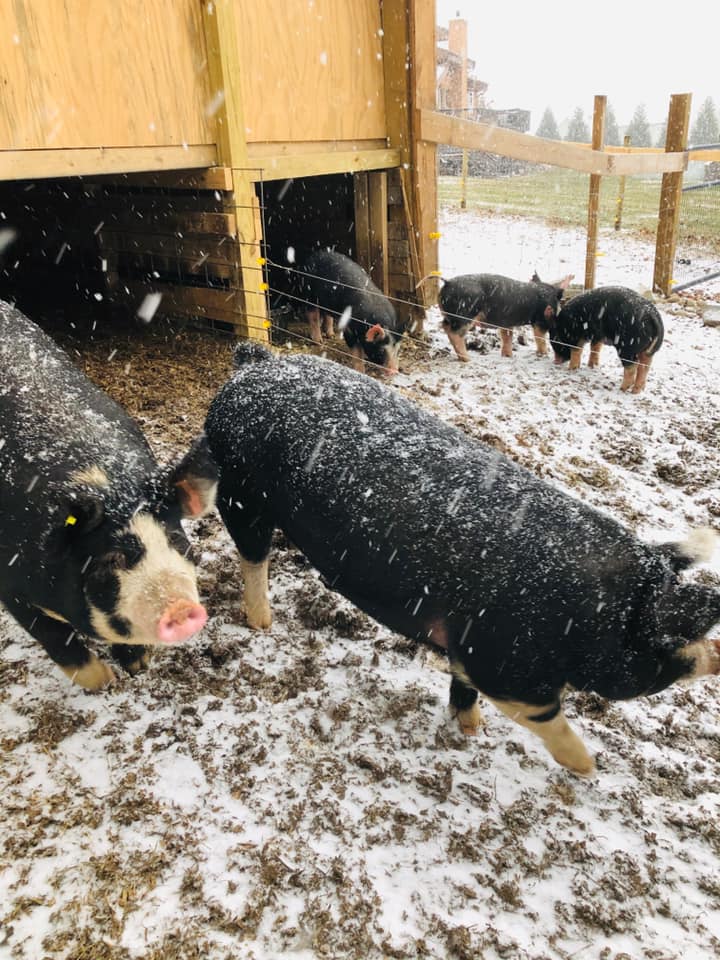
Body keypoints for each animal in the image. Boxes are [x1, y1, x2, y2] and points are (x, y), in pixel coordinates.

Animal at [0, 300, 217, 689]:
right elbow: (52, 634)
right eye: (112, 559)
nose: (181, 609)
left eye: (176, 540)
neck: (104, 485)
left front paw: (139, 665)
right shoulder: (9, 582)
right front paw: (104, 683)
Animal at [204, 342, 720, 777]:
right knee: (252, 555)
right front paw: (588, 770)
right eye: (678, 642)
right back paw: (263, 623)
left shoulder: (465, 645)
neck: (591, 620)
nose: (714, 656)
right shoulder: (504, 667)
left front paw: (472, 731)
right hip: (241, 490)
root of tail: (254, 365)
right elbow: (546, 715)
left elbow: (462, 685)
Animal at [438, 272, 573, 361]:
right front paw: (544, 355)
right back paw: (468, 359)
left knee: (445, 326)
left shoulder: (506, 323)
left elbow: (507, 336)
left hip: (450, 316)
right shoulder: (540, 321)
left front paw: (508, 356)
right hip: (465, 314)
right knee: (455, 333)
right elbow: (540, 338)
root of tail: (448, 283)